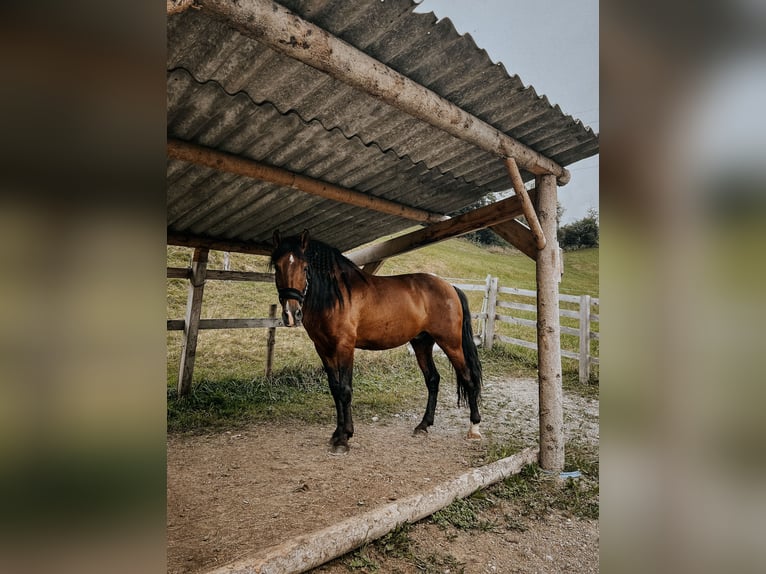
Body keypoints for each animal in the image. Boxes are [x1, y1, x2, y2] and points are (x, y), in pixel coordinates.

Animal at [272, 230, 484, 454]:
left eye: (305, 267)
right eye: (277, 266)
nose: (291, 313)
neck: (337, 295)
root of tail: (450, 286)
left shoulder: (344, 347)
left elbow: (345, 390)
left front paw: (344, 438)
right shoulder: (323, 348)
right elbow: (335, 389)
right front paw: (337, 433)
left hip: (451, 343)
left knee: (469, 378)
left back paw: (474, 428)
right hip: (422, 344)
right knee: (433, 380)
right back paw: (423, 425)